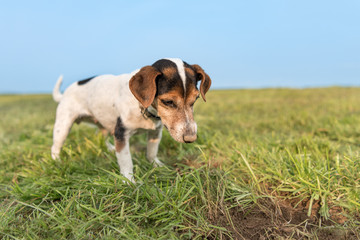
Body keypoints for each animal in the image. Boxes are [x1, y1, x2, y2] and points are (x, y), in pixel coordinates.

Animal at [52, 58, 212, 182]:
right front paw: (129, 181)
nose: (191, 138)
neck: (143, 108)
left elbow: (151, 152)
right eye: (168, 102)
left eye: (195, 99)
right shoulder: (121, 133)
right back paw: (57, 162)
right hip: (64, 125)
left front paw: (157, 165)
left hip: (105, 123)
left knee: (101, 137)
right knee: (55, 146)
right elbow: (126, 160)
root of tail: (65, 93)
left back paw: (110, 149)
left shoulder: (155, 133)